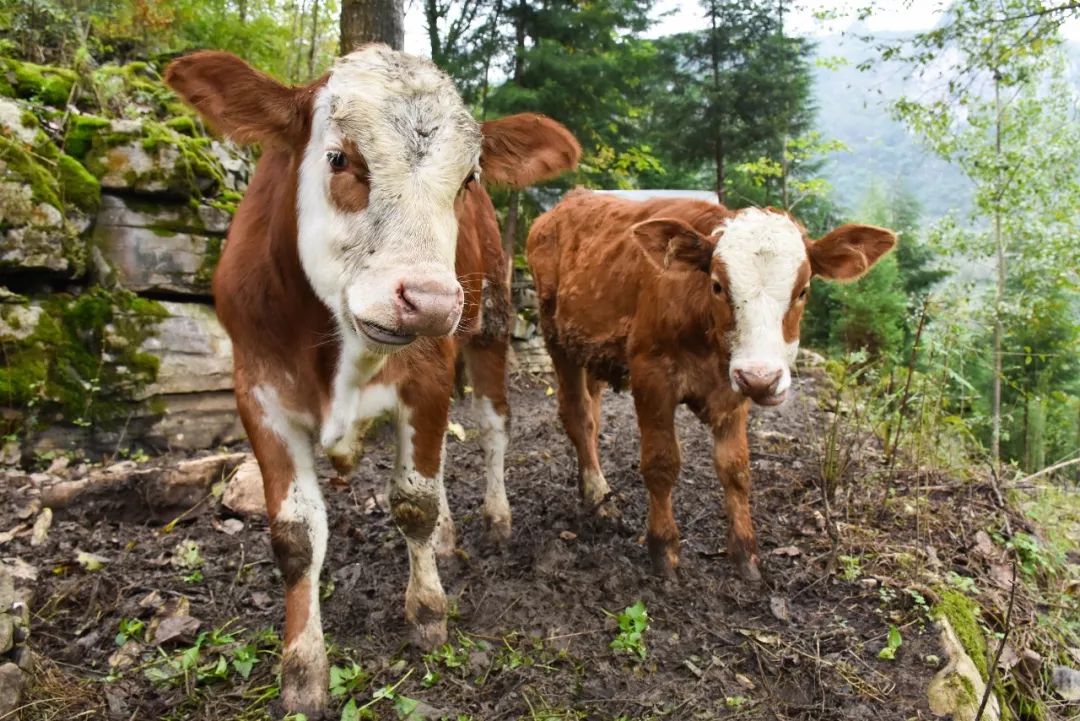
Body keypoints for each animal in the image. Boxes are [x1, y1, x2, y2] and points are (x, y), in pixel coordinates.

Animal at [164, 47, 578, 716]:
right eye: (339, 158)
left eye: (468, 178)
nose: (431, 300)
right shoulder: (257, 392)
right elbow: (296, 536)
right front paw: (303, 671)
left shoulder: (427, 377)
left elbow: (414, 501)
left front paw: (428, 613)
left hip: (489, 324)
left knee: (492, 428)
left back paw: (494, 516)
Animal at [529, 193, 894, 587]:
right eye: (718, 285)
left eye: (803, 290)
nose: (762, 379)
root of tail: (573, 198)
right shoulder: (651, 374)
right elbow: (661, 462)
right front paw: (664, 549)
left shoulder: (734, 387)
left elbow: (736, 469)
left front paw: (746, 555)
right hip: (555, 334)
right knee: (578, 415)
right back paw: (598, 494)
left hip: (592, 350)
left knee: (593, 415)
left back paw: (594, 491)